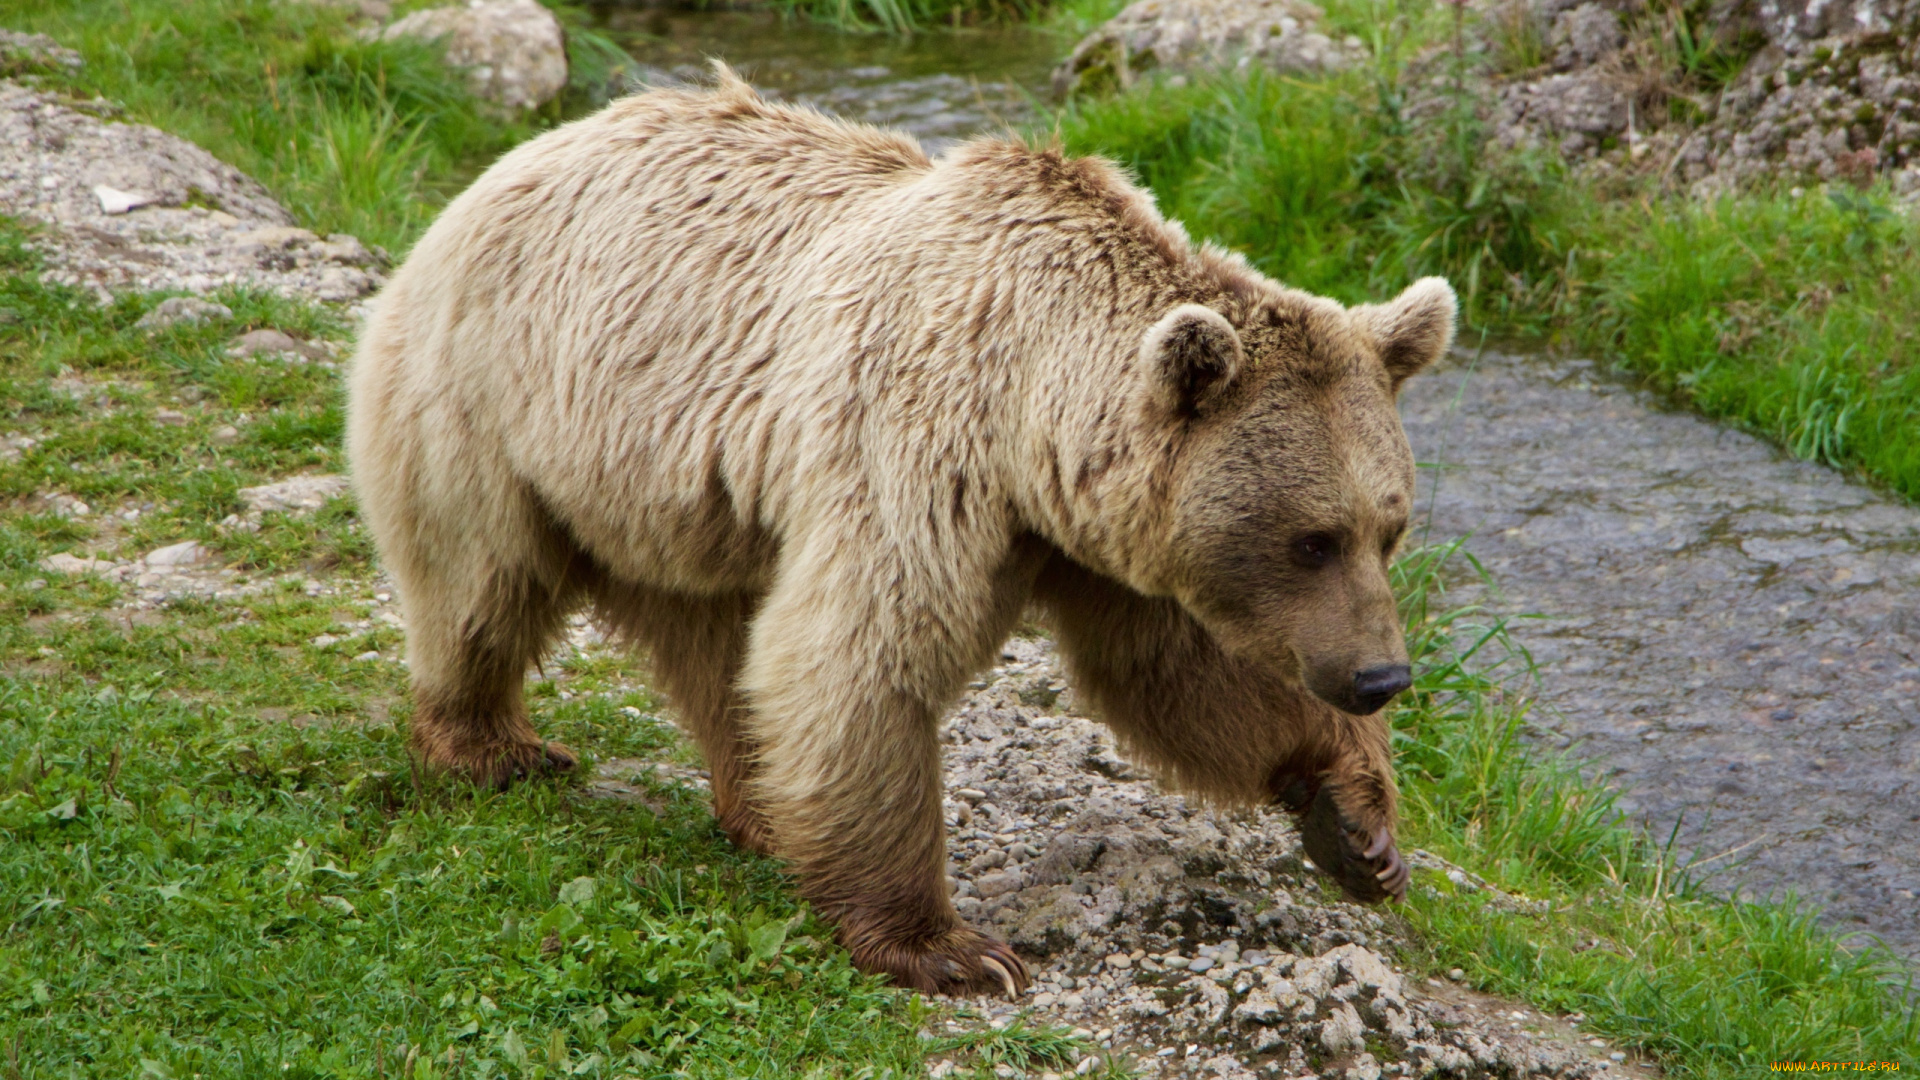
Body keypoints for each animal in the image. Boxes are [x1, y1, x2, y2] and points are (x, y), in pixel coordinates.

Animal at [349, 65, 1451, 991]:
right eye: (1312, 539)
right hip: (502, 402)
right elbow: (864, 655)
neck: (1031, 415)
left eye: (1388, 528)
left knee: (719, 647)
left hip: (679, 500)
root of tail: (509, 163)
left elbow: (1177, 673)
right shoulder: (917, 447)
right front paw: (951, 948)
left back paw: (761, 807)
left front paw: (1358, 826)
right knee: (481, 581)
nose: (1381, 676)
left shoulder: (1097, 536)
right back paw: (493, 746)